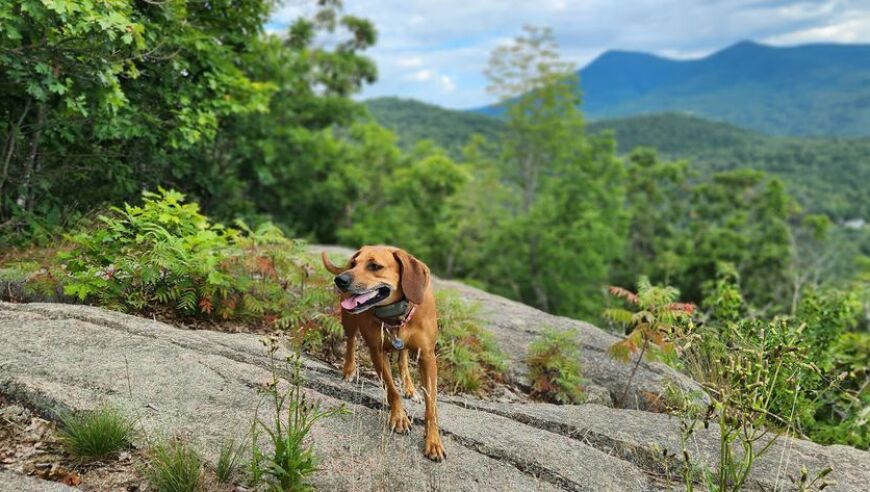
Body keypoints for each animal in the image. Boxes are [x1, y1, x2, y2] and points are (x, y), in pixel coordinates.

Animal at [320, 246, 450, 462]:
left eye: (374, 266)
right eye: (354, 263)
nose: (340, 280)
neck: (396, 315)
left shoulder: (427, 357)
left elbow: (431, 405)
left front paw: (433, 440)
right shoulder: (377, 352)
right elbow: (391, 390)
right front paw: (399, 417)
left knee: (403, 359)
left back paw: (410, 388)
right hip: (349, 320)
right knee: (351, 342)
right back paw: (349, 370)